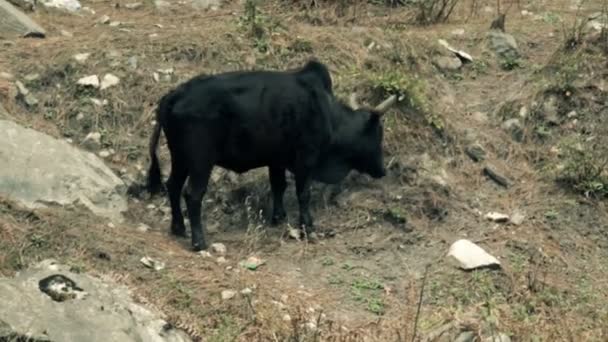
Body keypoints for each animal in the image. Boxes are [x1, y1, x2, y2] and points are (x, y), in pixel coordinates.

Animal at [145, 59, 396, 251]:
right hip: (200, 161)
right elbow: (303, 193)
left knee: (173, 185)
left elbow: (278, 186)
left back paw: (178, 228)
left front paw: (279, 217)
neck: (328, 115)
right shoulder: (306, 159)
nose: (382, 170)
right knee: (192, 194)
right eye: (378, 132)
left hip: (180, 158)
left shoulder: (277, 160)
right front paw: (307, 226)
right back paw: (199, 242)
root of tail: (174, 95)